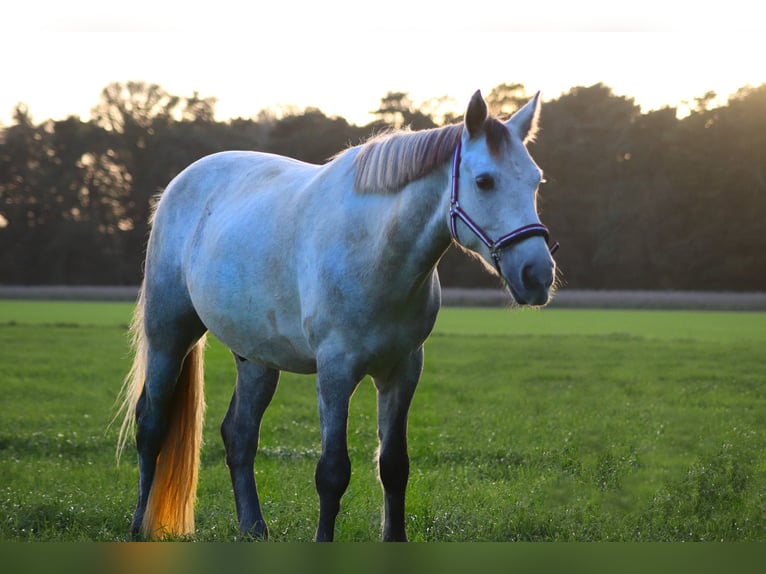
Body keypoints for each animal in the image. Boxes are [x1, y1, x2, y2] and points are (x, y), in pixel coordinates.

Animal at [115, 90, 560, 544]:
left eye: (536, 181)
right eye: (484, 181)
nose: (537, 275)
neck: (376, 249)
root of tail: (180, 183)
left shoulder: (403, 370)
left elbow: (394, 466)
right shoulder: (335, 372)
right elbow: (332, 472)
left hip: (256, 359)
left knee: (239, 436)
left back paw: (253, 528)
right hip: (169, 337)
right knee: (151, 425)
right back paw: (139, 525)